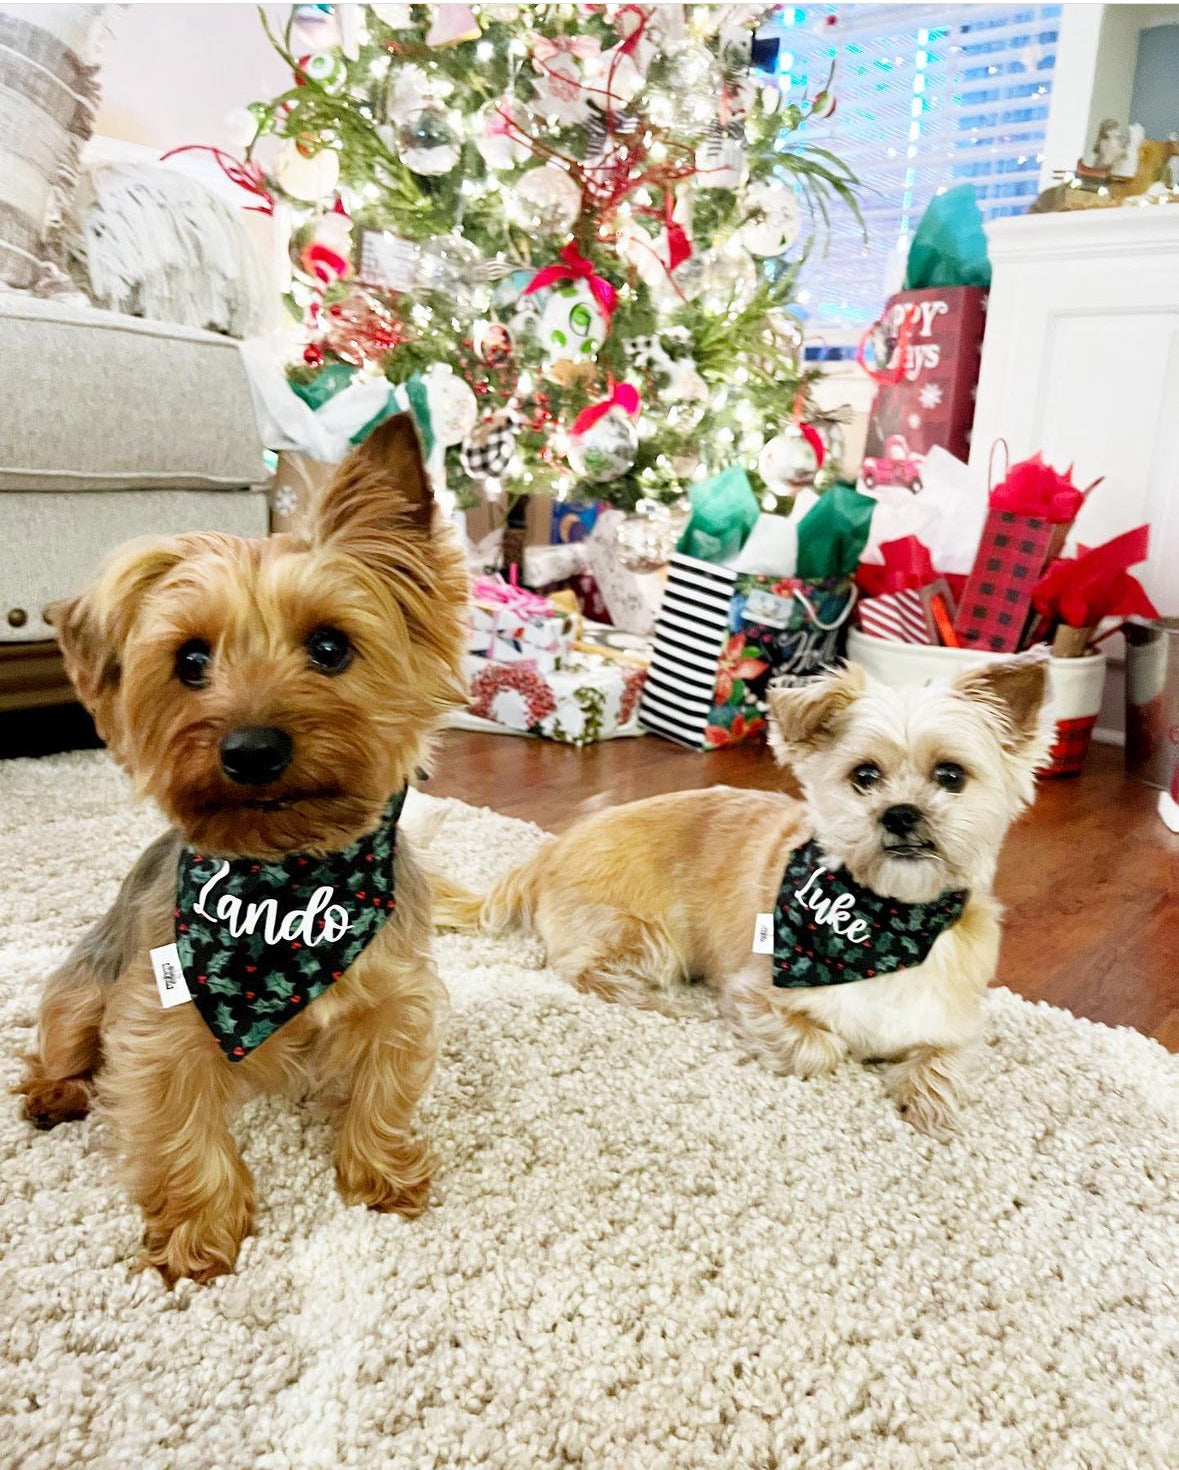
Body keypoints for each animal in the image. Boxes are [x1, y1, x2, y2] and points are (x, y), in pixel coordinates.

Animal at [443, 658, 1046, 1134]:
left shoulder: (953, 1025)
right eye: (864, 776)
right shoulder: (753, 994)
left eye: (951, 775)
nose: (900, 814)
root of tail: (551, 847)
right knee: (584, 970)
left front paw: (932, 1108)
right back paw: (664, 1003)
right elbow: (824, 1047)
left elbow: (945, 1061)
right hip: (647, 937)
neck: (880, 922)